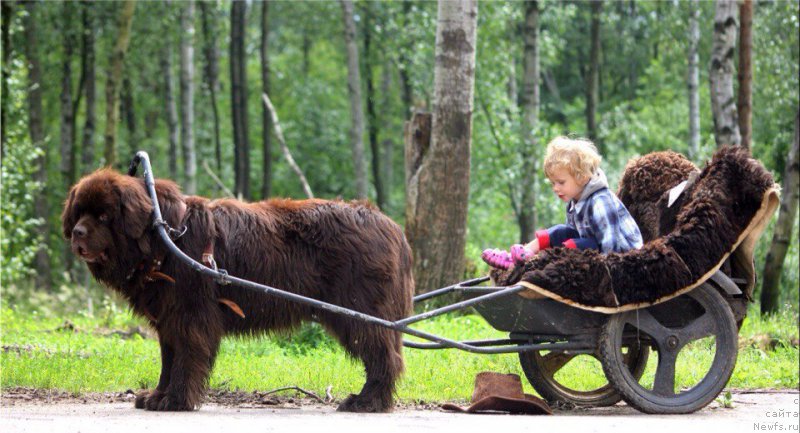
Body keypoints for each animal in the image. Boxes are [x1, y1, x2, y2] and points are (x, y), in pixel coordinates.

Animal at [62, 167, 412, 410]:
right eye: (79, 212)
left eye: (104, 216)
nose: (77, 233)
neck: (166, 235)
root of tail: (393, 227)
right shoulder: (168, 319)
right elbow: (168, 360)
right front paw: (157, 396)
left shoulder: (190, 315)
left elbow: (186, 358)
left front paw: (175, 401)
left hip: (359, 312)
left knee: (385, 357)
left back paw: (367, 402)